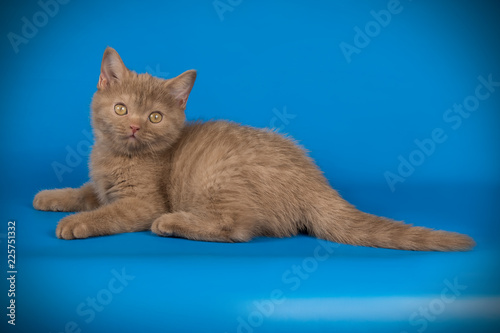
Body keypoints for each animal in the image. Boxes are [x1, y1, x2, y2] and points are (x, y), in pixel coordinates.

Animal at [33, 46, 474, 249]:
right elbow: (84, 192)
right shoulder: (100, 184)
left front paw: (76, 223)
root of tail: (317, 181)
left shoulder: (142, 202)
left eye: (155, 117)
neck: (116, 158)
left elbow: (110, 214)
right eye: (121, 108)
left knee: (238, 229)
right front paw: (51, 197)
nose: (135, 126)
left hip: (218, 180)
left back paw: (174, 223)